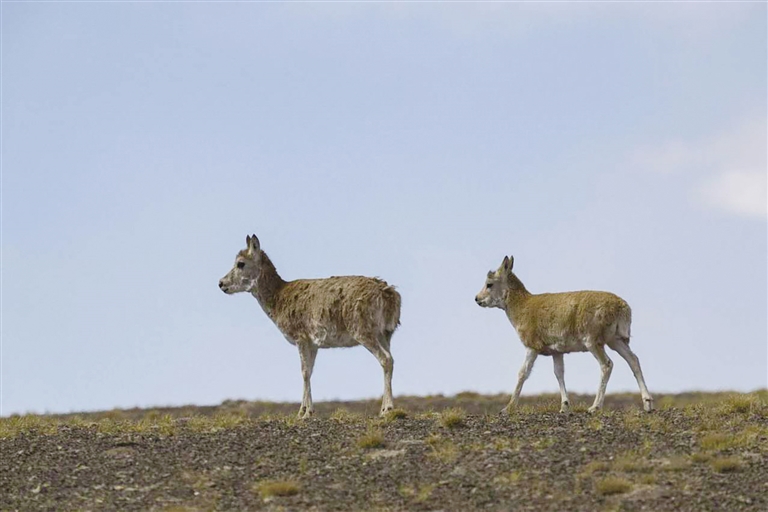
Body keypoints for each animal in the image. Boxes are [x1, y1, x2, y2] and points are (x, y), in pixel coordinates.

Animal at [219, 235, 402, 418]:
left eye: (240, 263)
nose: (221, 283)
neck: (278, 298)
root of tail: (389, 293)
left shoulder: (301, 337)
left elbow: (304, 372)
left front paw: (304, 412)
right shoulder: (314, 344)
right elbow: (310, 371)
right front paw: (306, 410)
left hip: (364, 332)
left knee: (385, 359)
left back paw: (387, 409)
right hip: (386, 333)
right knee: (391, 359)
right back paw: (385, 408)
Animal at [475, 255, 653, 414]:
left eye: (489, 284)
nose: (477, 299)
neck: (523, 305)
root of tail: (622, 306)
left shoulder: (532, 347)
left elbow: (522, 373)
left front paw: (507, 408)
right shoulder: (557, 352)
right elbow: (559, 373)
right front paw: (564, 406)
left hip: (594, 343)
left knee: (607, 365)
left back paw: (595, 407)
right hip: (616, 341)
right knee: (633, 360)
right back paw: (647, 403)